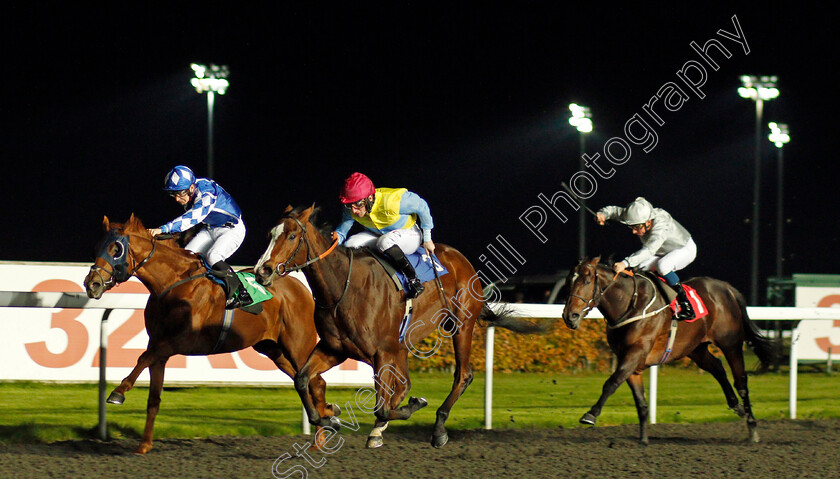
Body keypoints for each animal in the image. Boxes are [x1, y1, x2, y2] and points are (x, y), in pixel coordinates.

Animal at [83, 216, 338, 456]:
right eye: (97, 247)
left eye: (116, 248)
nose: (91, 284)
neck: (172, 285)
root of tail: (302, 288)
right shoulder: (159, 346)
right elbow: (153, 398)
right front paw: (144, 445)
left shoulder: (178, 342)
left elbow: (142, 358)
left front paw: (117, 393)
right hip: (273, 349)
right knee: (305, 379)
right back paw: (326, 419)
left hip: (298, 344)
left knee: (314, 380)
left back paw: (322, 431)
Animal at [253, 207, 540, 450]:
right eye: (269, 235)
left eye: (291, 236)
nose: (261, 271)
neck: (344, 288)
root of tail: (461, 260)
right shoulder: (335, 349)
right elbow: (302, 378)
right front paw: (328, 419)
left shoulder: (381, 353)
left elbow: (382, 406)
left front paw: (411, 407)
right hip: (402, 344)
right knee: (404, 384)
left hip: (461, 326)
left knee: (462, 375)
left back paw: (438, 429)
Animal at [560, 258, 772, 446]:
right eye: (568, 281)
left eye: (587, 281)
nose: (570, 316)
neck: (630, 304)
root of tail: (727, 288)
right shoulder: (629, 359)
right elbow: (640, 401)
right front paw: (643, 440)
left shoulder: (636, 352)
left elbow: (611, 383)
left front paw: (590, 415)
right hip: (695, 348)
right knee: (718, 368)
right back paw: (736, 405)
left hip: (731, 343)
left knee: (741, 381)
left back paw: (752, 428)